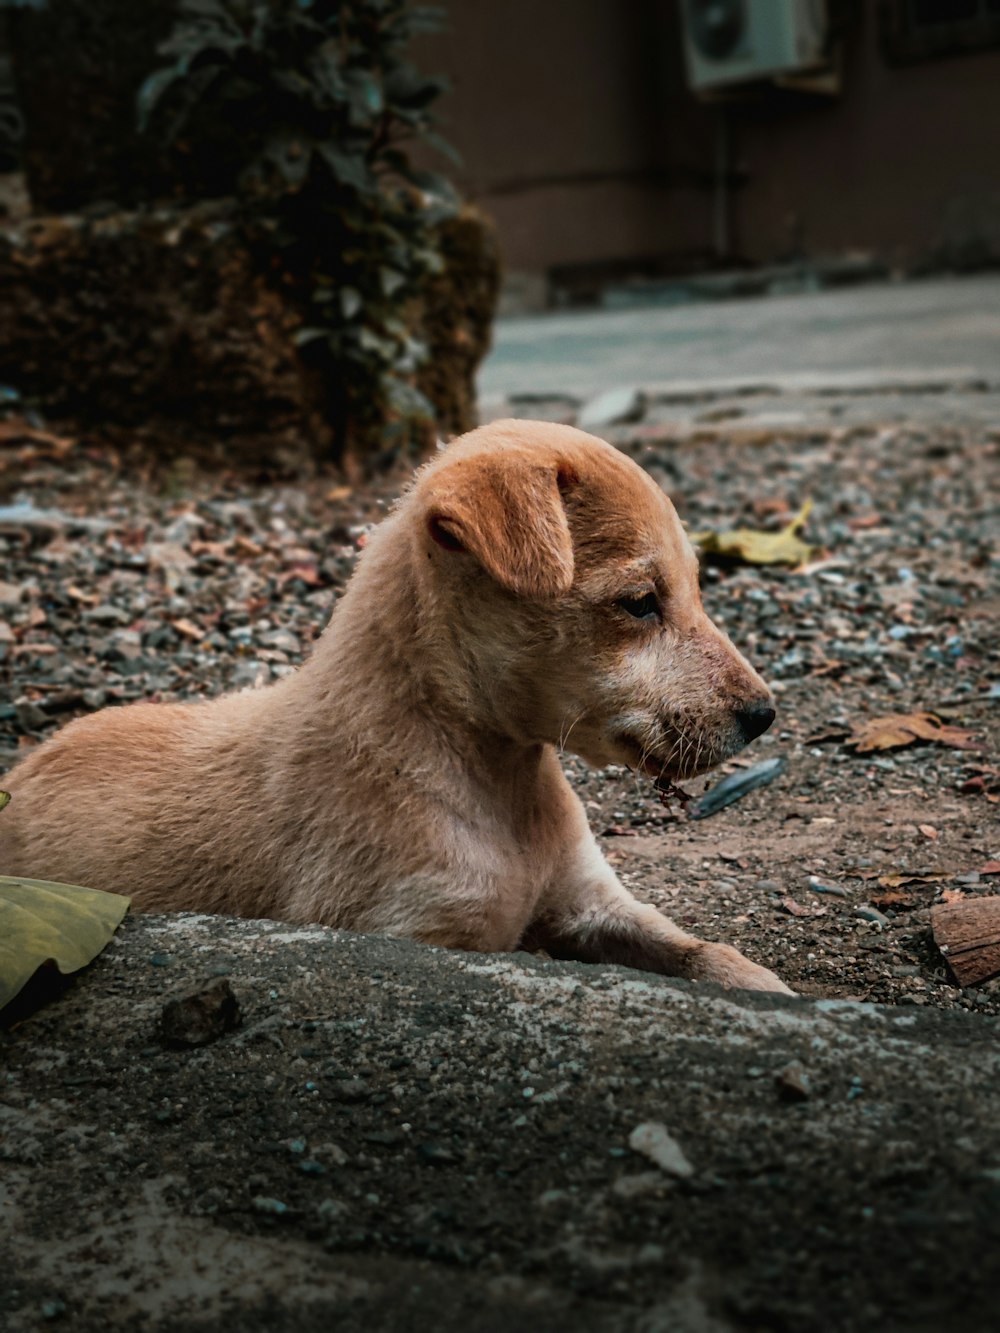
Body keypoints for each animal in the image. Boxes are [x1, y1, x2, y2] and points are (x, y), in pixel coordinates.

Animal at [1, 421, 789, 997]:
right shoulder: (412, 935)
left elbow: (702, 951)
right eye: (639, 602)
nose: (764, 715)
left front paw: (768, 989)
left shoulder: (589, 901)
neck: (497, 790)